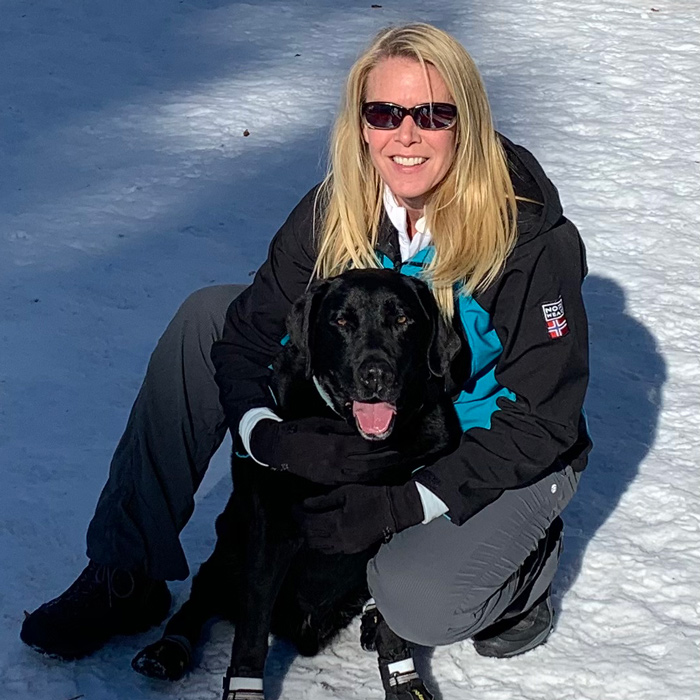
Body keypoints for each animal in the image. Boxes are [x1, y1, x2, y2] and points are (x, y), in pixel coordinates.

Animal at [132, 270, 464, 700]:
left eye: (403, 319)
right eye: (341, 321)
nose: (376, 374)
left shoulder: (401, 516)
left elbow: (395, 615)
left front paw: (403, 680)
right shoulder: (270, 528)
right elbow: (252, 628)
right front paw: (244, 688)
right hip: (229, 546)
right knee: (199, 599)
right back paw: (167, 651)